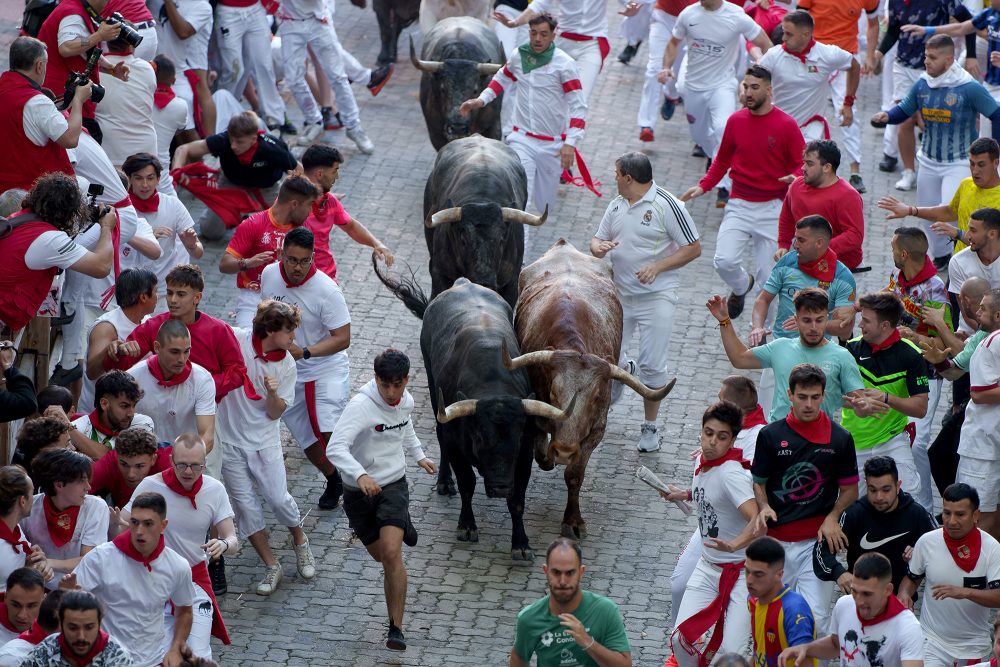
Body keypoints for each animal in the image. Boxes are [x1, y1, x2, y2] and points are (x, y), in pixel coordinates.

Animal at [372, 268, 572, 560]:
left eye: (516, 441)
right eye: (480, 439)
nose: (500, 487)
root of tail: (463, 283)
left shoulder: (524, 456)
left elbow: (518, 501)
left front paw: (521, 543)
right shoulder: (457, 446)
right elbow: (467, 484)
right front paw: (467, 526)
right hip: (435, 393)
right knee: (440, 437)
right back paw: (445, 482)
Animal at [422, 139, 548, 310]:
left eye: (501, 240)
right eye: (463, 240)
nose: (484, 282)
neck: (481, 197)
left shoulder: (512, 282)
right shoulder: (439, 273)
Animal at [504, 237, 676, 540]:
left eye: (596, 397)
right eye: (553, 392)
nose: (564, 451)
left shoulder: (596, 429)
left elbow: (574, 474)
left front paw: (573, 520)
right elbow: (541, 451)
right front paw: (550, 457)